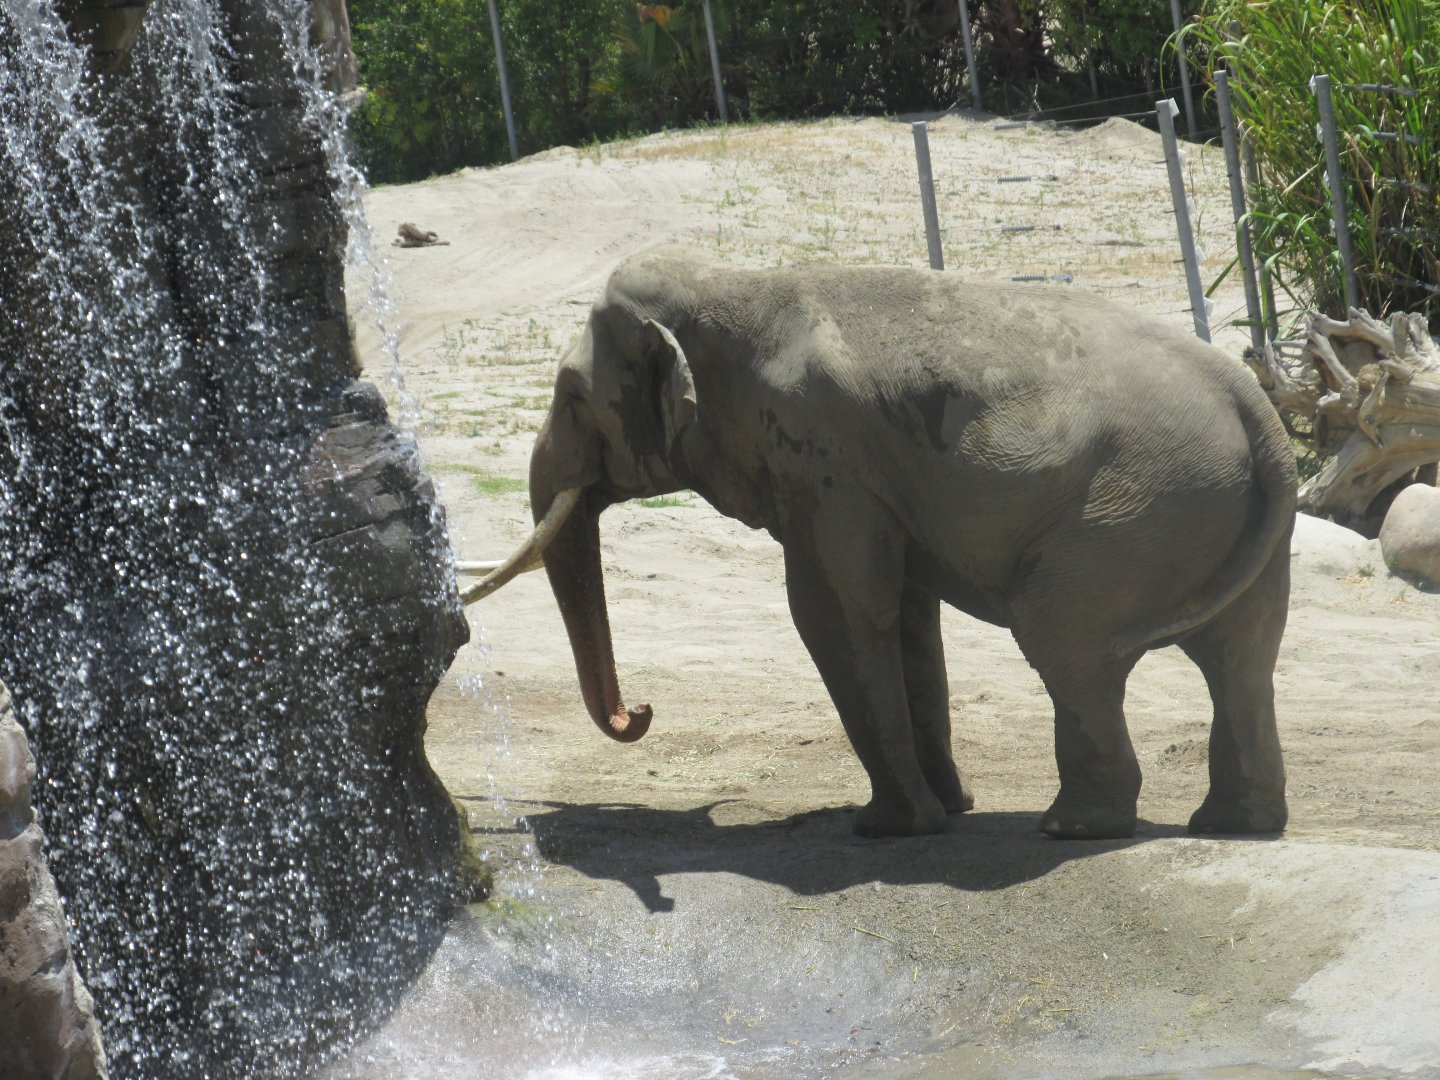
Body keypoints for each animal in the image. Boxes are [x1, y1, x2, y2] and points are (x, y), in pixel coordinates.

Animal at [479, 252, 1297, 840]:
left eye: (572, 398)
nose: (642, 710)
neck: (739, 282)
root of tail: (1257, 406)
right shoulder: (870, 482)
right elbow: (906, 614)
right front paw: (951, 810)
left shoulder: (828, 461)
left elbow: (832, 612)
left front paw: (886, 828)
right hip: (1215, 522)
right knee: (1241, 659)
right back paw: (1232, 824)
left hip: (1128, 517)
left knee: (1066, 646)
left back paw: (1073, 828)